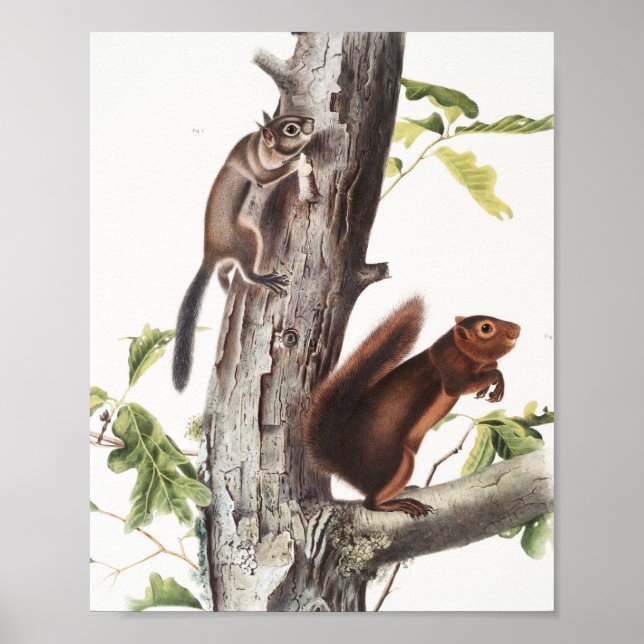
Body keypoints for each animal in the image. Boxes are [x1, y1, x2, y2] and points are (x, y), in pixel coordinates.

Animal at [172, 114, 315, 391]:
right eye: (290, 129)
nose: (312, 122)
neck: (256, 144)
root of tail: (211, 254)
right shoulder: (256, 167)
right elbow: (270, 175)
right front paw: (299, 160)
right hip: (248, 239)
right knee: (247, 273)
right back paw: (262, 279)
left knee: (223, 272)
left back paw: (226, 286)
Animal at [303, 297, 520, 518]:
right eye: (486, 328)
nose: (517, 328)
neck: (455, 349)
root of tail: (344, 466)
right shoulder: (451, 374)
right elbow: (464, 384)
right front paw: (495, 379)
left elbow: (489, 368)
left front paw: (488, 385)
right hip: (398, 462)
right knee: (369, 502)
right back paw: (400, 504)